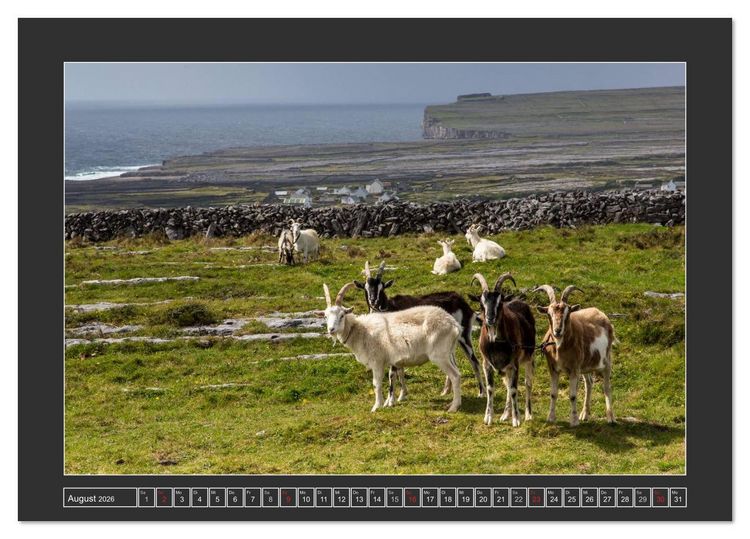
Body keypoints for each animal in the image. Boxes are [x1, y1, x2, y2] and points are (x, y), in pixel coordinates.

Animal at [322, 281, 463, 412]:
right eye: (326, 316)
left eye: (342, 315)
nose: (331, 330)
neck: (361, 331)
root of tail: (454, 324)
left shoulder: (377, 361)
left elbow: (376, 384)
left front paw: (376, 406)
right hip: (448, 353)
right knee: (457, 372)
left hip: (439, 355)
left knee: (455, 376)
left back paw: (454, 407)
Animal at [354, 260, 485, 404]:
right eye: (365, 288)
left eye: (381, 287)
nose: (373, 301)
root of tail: (462, 301)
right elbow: (400, 370)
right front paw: (402, 395)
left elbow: (392, 373)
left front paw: (390, 401)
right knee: (453, 362)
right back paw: (446, 391)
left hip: (464, 336)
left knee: (474, 361)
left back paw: (481, 393)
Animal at [470, 272, 536, 427]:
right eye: (481, 304)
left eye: (499, 304)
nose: (490, 319)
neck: (496, 343)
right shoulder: (486, 363)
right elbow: (490, 389)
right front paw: (488, 418)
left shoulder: (514, 364)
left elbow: (514, 389)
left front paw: (516, 419)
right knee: (507, 385)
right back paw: (506, 414)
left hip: (529, 358)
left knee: (527, 383)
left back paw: (528, 414)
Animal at [534, 284, 616, 426]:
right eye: (549, 313)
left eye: (568, 313)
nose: (557, 331)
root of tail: (602, 314)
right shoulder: (554, 368)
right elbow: (553, 393)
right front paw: (551, 418)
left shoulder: (574, 368)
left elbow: (572, 395)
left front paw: (574, 421)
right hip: (585, 365)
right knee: (589, 383)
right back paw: (584, 414)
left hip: (606, 360)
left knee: (606, 387)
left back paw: (610, 418)